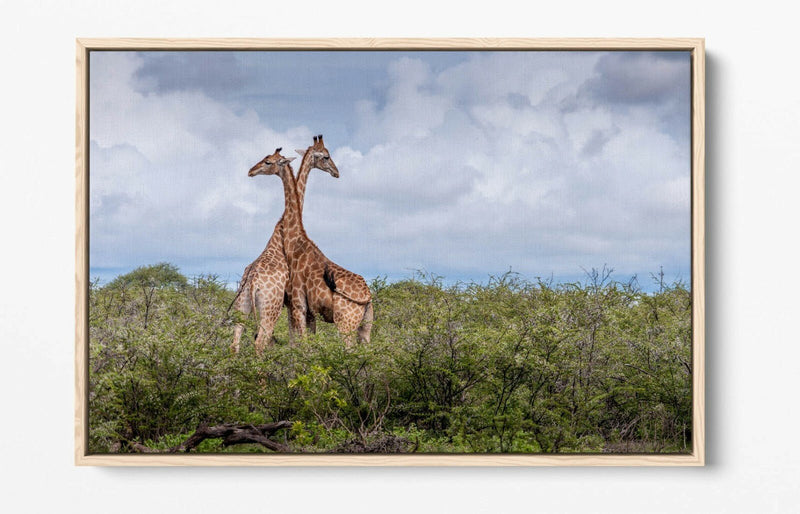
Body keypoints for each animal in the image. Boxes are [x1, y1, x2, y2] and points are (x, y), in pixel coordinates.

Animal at [278, 135, 374, 346]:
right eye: (326, 157)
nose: (336, 173)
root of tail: (368, 295)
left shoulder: (299, 306)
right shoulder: (299, 307)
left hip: (346, 324)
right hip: (364, 326)